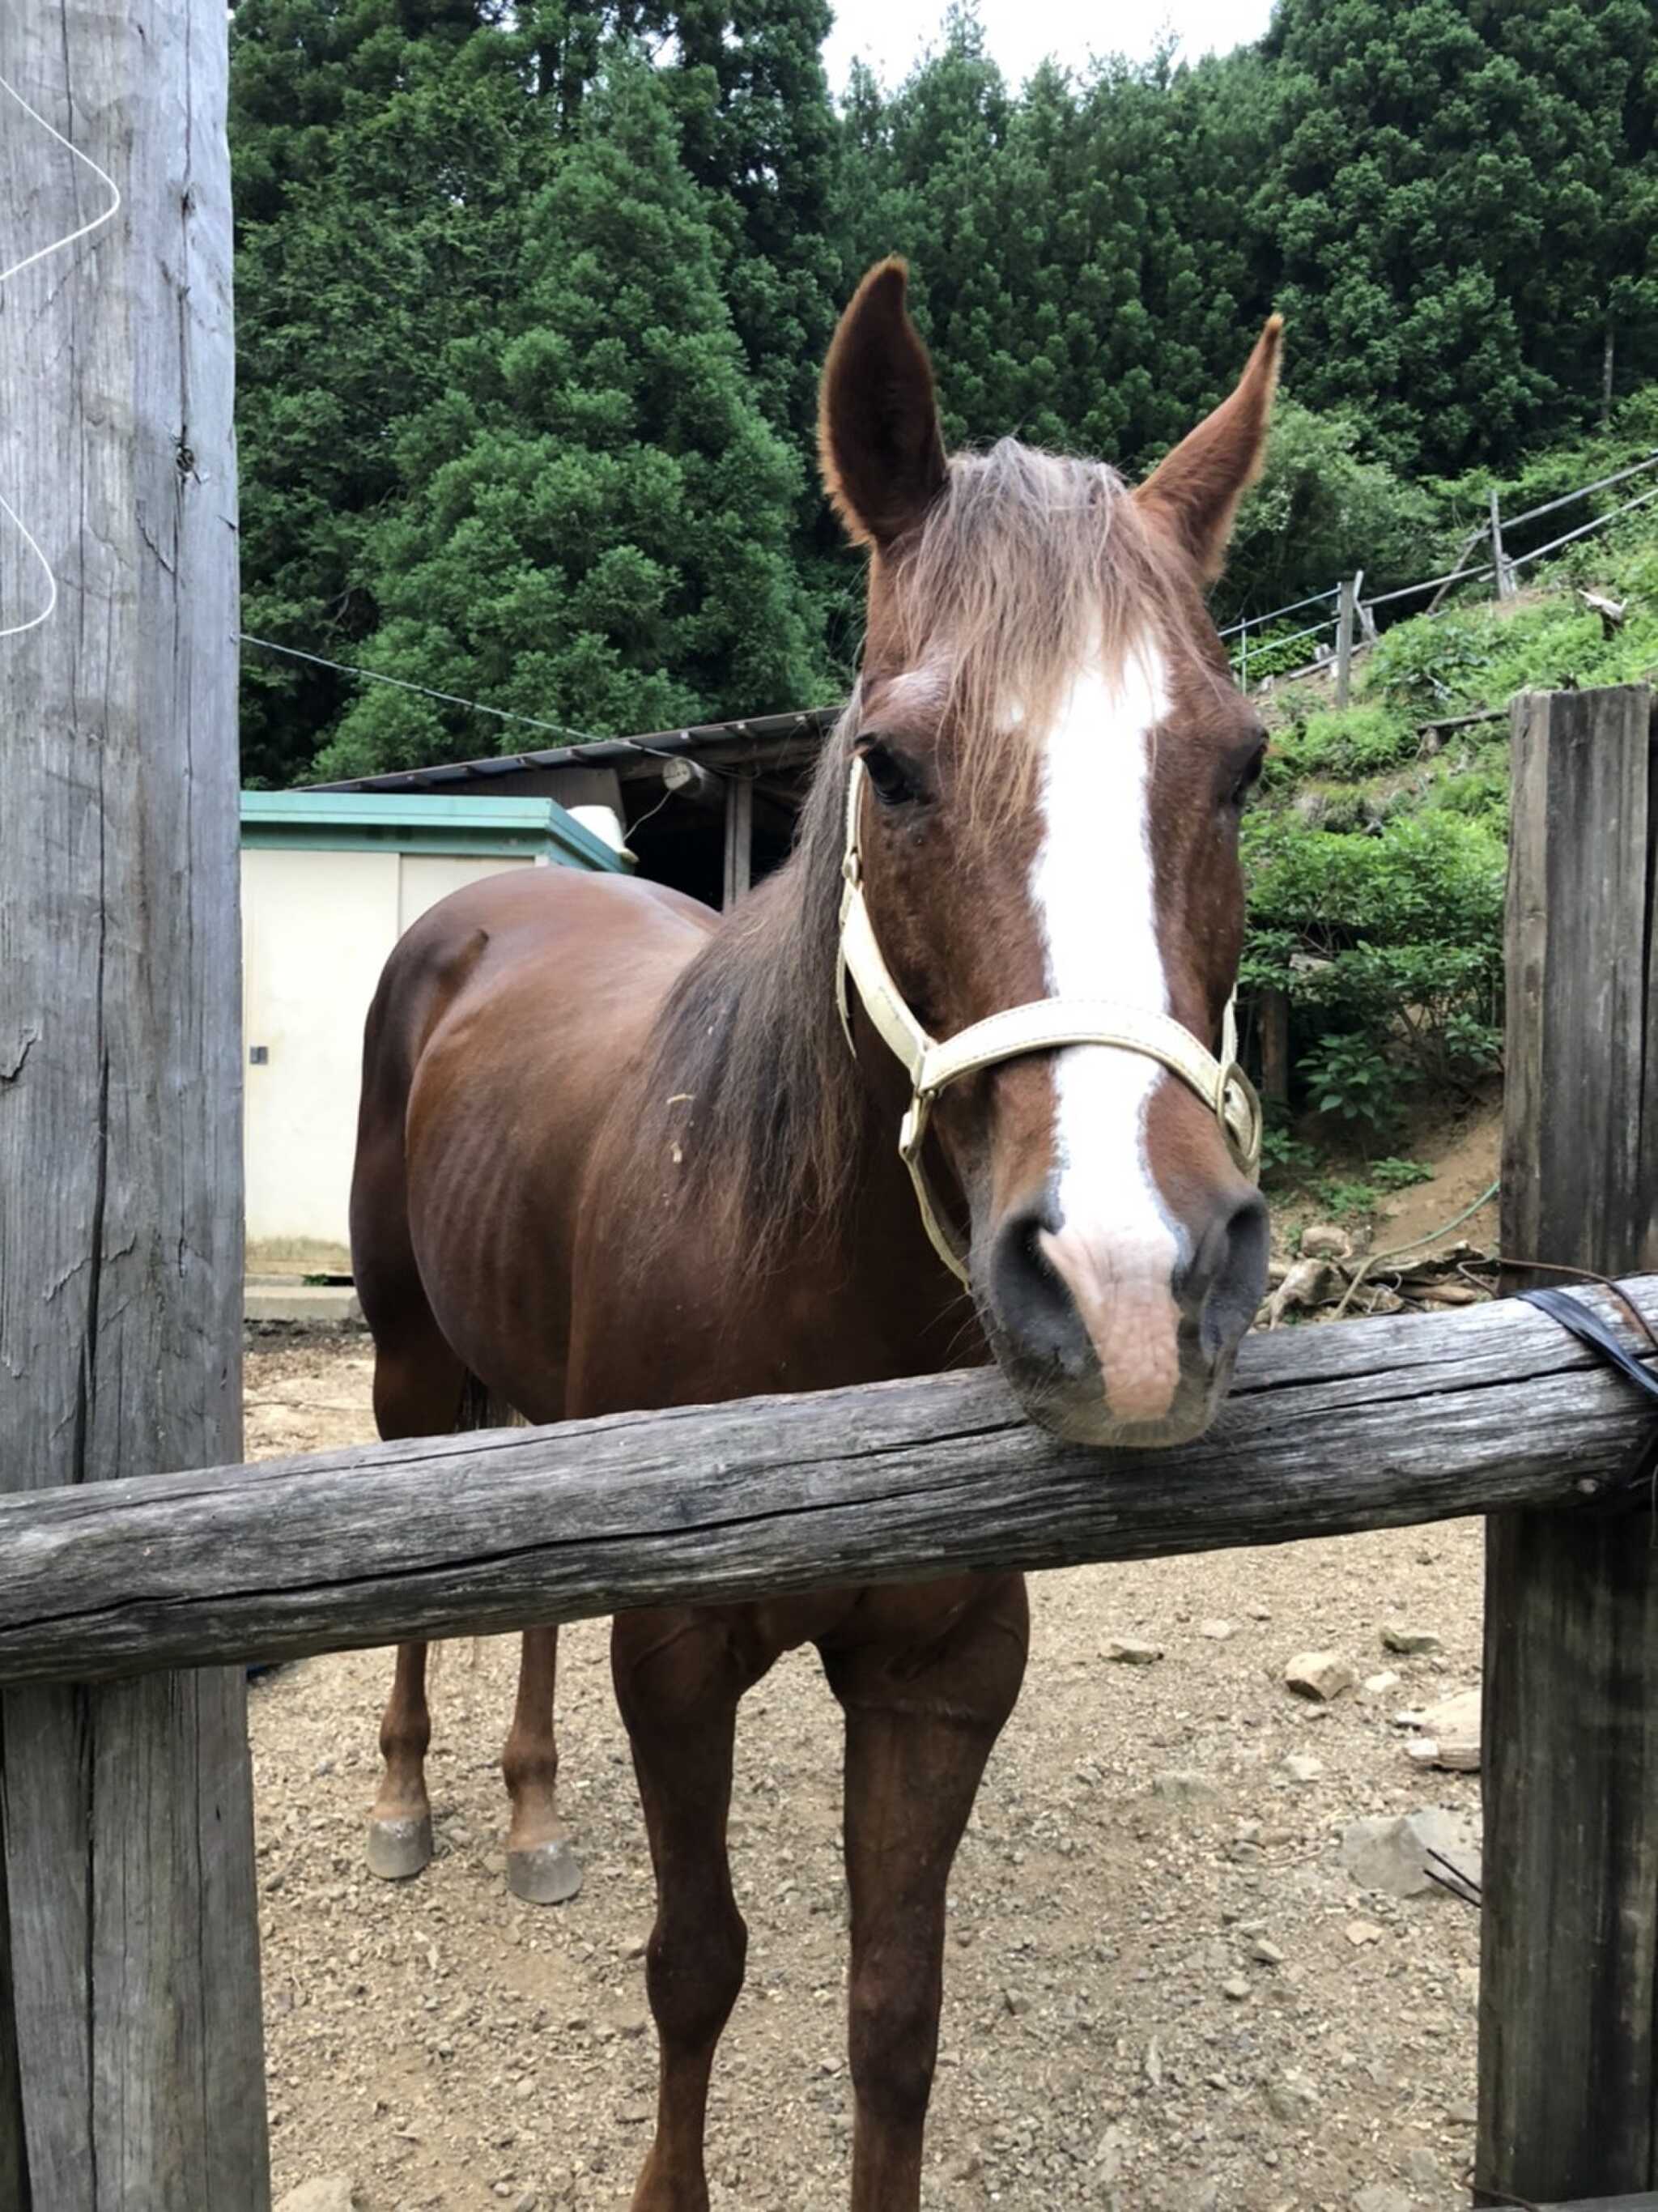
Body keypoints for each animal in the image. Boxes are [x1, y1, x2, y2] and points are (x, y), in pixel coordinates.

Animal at [349, 257, 1280, 2212]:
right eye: (895, 764)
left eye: (1239, 766)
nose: (1133, 1285)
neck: (807, 1286)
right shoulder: (677, 1649)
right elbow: (697, 1966)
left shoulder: (941, 1676)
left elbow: (892, 2016)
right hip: (409, 1365)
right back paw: (412, 1799)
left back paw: (535, 1810)